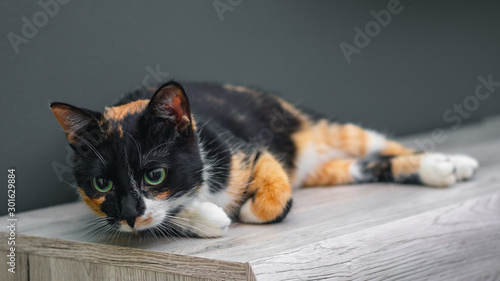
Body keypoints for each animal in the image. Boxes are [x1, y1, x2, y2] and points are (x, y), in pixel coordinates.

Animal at [48, 81, 478, 236]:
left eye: (154, 175)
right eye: (102, 183)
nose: (127, 213)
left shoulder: (247, 150)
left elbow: (273, 197)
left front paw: (247, 210)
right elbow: (163, 219)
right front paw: (208, 218)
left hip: (324, 129)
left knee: (379, 144)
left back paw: (452, 163)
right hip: (326, 168)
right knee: (361, 165)